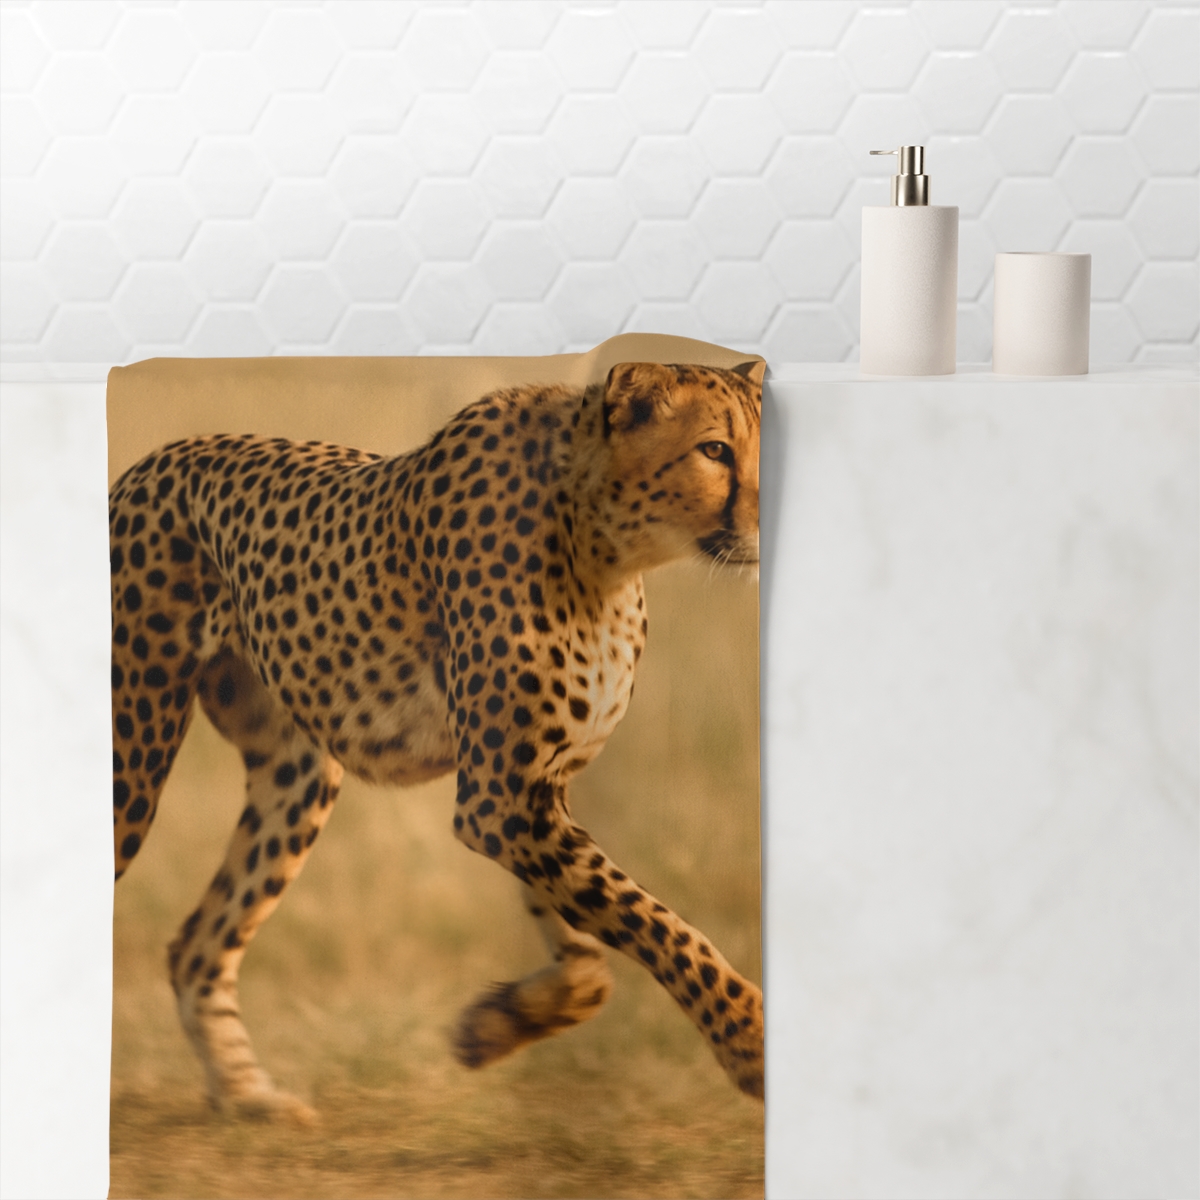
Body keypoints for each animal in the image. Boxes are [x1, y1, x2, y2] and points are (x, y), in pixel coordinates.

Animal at [109, 360, 764, 1120]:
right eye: (714, 450)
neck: (606, 549)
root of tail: (146, 464)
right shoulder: (501, 800)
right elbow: (657, 923)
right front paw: (751, 1038)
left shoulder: (533, 790)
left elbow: (590, 950)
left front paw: (491, 1028)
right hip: (132, 755)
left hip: (297, 775)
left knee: (197, 943)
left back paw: (247, 1098)